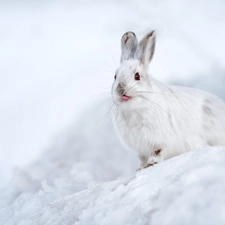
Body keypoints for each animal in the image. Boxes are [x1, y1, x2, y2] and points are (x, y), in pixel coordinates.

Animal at [111, 30, 225, 170]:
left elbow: (157, 153)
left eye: (137, 76)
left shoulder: (160, 141)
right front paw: (140, 168)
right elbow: (142, 159)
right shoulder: (140, 148)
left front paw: (150, 164)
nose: (120, 90)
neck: (135, 108)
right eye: (115, 76)